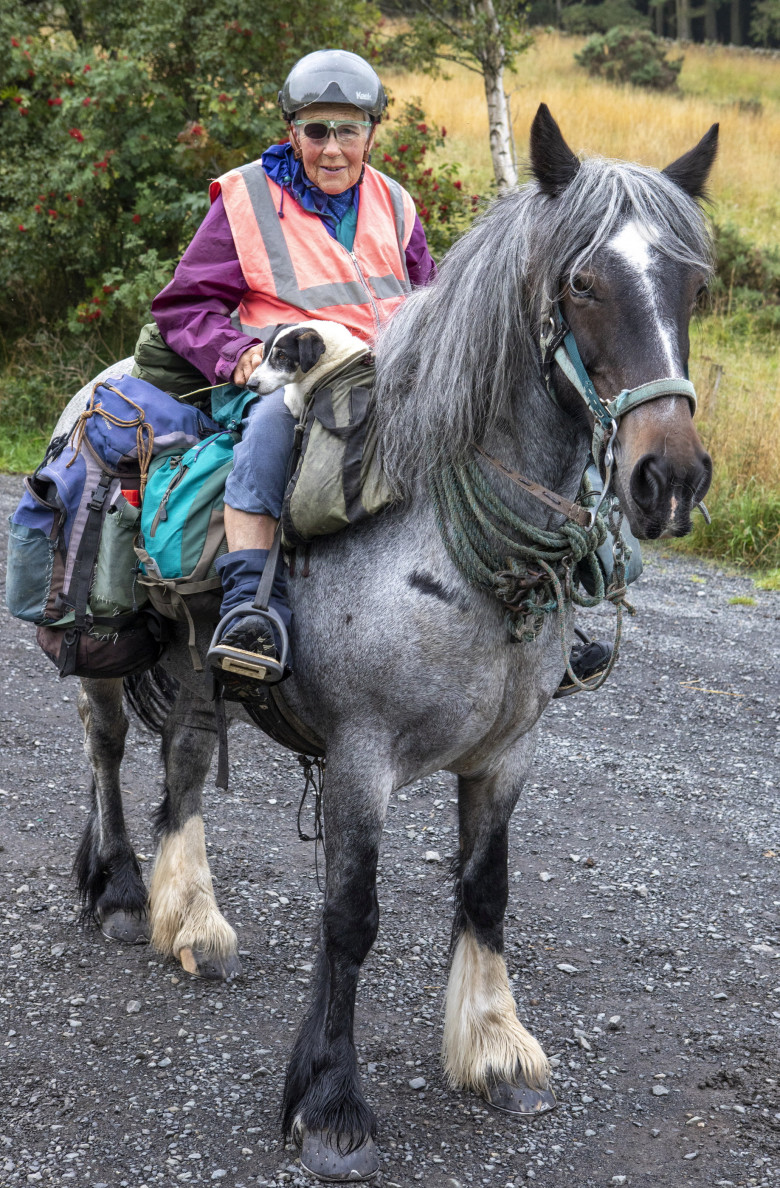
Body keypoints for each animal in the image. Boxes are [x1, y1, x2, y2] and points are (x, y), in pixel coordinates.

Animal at [59, 106, 717, 1183]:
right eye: (583, 283)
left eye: (691, 284)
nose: (671, 477)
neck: (446, 543)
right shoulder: (361, 757)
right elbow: (353, 915)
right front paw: (331, 1103)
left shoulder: (507, 756)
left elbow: (486, 892)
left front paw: (495, 1049)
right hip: (107, 657)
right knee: (109, 751)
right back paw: (118, 890)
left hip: (198, 664)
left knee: (185, 765)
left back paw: (190, 918)